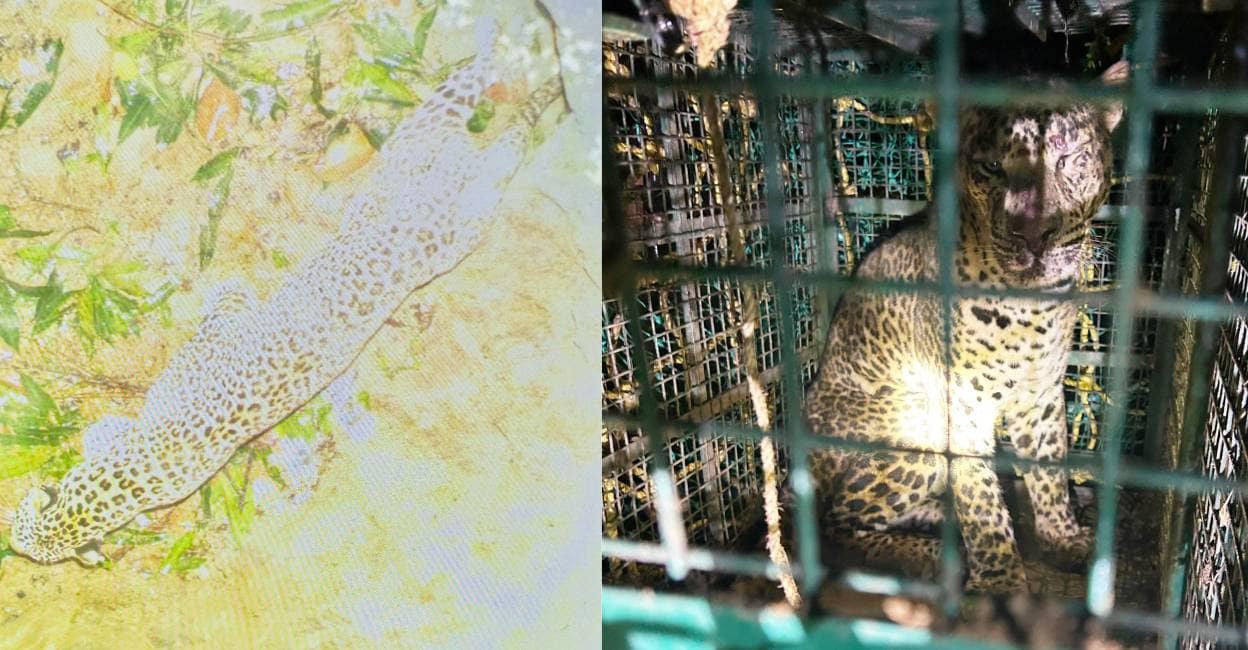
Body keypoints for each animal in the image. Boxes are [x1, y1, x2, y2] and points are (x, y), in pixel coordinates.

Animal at [3, 17, 564, 566]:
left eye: (24, 537)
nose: (15, 543)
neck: (125, 476)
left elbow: (226, 306)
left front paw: (220, 287)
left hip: (454, 229)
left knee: (495, 140)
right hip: (401, 162)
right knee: (460, 106)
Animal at [803, 62, 1127, 593]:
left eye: (1069, 160)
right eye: (992, 168)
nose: (1034, 235)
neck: (1030, 305)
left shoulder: (1042, 394)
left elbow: (1051, 474)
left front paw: (1063, 538)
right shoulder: (962, 406)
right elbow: (981, 501)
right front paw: (1001, 581)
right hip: (918, 422)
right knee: (838, 526)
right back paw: (936, 558)